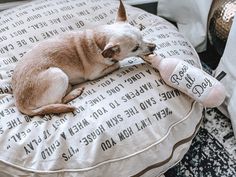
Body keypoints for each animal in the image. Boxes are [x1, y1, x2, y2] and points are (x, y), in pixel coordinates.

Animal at [12, 0, 157, 116]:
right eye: (135, 48)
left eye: (142, 37)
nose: (153, 47)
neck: (98, 41)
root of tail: (19, 103)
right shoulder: (95, 74)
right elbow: (117, 64)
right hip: (59, 74)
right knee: (60, 101)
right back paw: (73, 92)